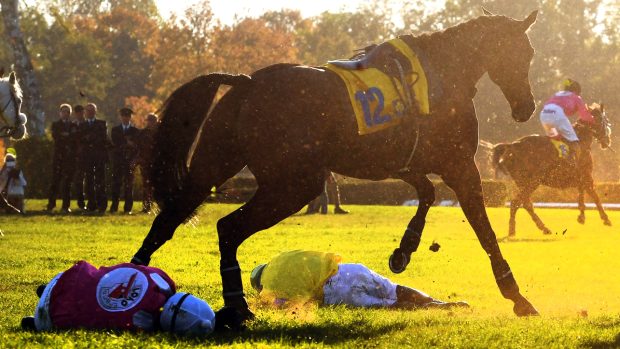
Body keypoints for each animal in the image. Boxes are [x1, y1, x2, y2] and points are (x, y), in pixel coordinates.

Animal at [133, 10, 540, 316]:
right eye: (522, 53)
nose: (526, 107)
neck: (441, 74)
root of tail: (247, 83)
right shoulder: (460, 166)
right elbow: (484, 230)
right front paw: (517, 296)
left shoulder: (402, 163)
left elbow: (426, 192)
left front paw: (403, 251)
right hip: (294, 183)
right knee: (228, 227)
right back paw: (236, 308)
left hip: (214, 165)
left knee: (169, 219)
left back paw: (136, 276)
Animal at [494, 102, 612, 234]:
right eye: (604, 121)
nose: (607, 140)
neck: (581, 141)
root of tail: (512, 146)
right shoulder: (587, 177)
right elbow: (595, 197)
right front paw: (606, 219)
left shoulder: (580, 178)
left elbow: (582, 195)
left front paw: (581, 217)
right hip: (533, 181)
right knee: (516, 202)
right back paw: (512, 230)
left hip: (522, 182)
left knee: (526, 204)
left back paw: (543, 228)